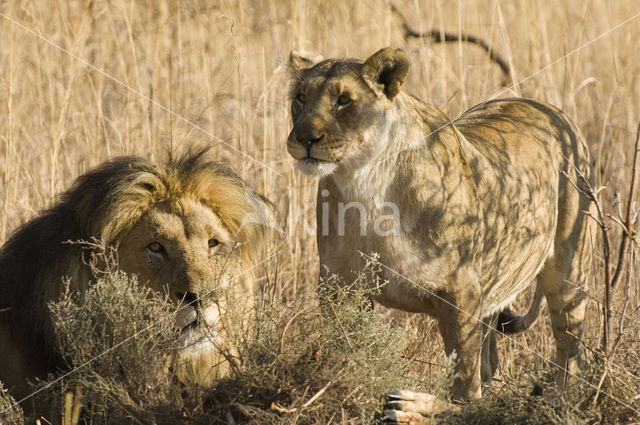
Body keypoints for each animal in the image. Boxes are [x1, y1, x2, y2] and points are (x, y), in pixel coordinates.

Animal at [284, 47, 596, 418]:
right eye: (300, 98)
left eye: (344, 100)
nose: (305, 138)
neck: (365, 184)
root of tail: (551, 109)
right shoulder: (337, 286)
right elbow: (345, 350)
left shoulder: (461, 289)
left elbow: (464, 386)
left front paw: (418, 408)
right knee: (491, 363)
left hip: (568, 268)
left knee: (568, 350)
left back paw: (558, 401)